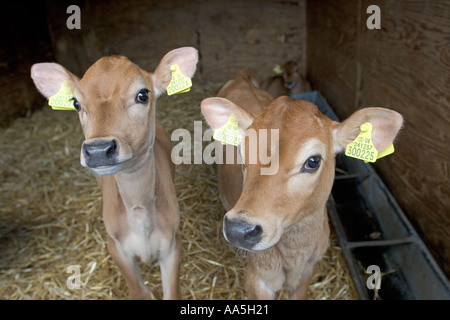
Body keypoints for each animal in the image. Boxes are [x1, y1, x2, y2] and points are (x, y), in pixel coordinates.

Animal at [31, 47, 199, 300]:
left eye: (142, 95)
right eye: (76, 103)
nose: (98, 150)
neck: (138, 211)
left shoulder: (172, 244)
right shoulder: (116, 247)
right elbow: (140, 292)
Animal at [202, 69, 402, 298]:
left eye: (313, 161)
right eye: (242, 152)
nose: (238, 229)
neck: (294, 256)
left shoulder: (308, 270)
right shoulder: (257, 278)